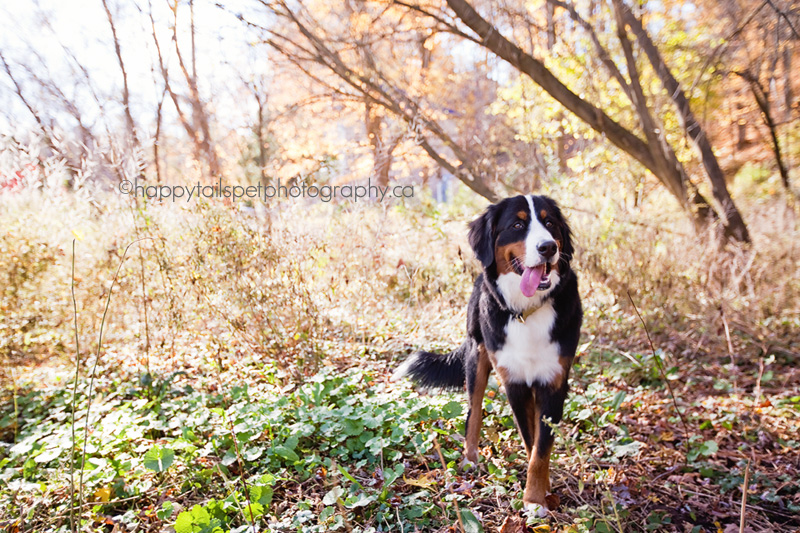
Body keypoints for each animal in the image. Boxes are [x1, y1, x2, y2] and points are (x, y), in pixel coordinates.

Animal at [394, 194, 580, 516]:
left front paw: (537, 495)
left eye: (550, 223)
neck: (526, 312)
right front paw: (537, 497)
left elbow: (540, 449)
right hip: (476, 355)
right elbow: (530, 441)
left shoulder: (553, 382)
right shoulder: (514, 382)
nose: (548, 247)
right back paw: (470, 458)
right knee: (474, 409)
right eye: (517, 225)